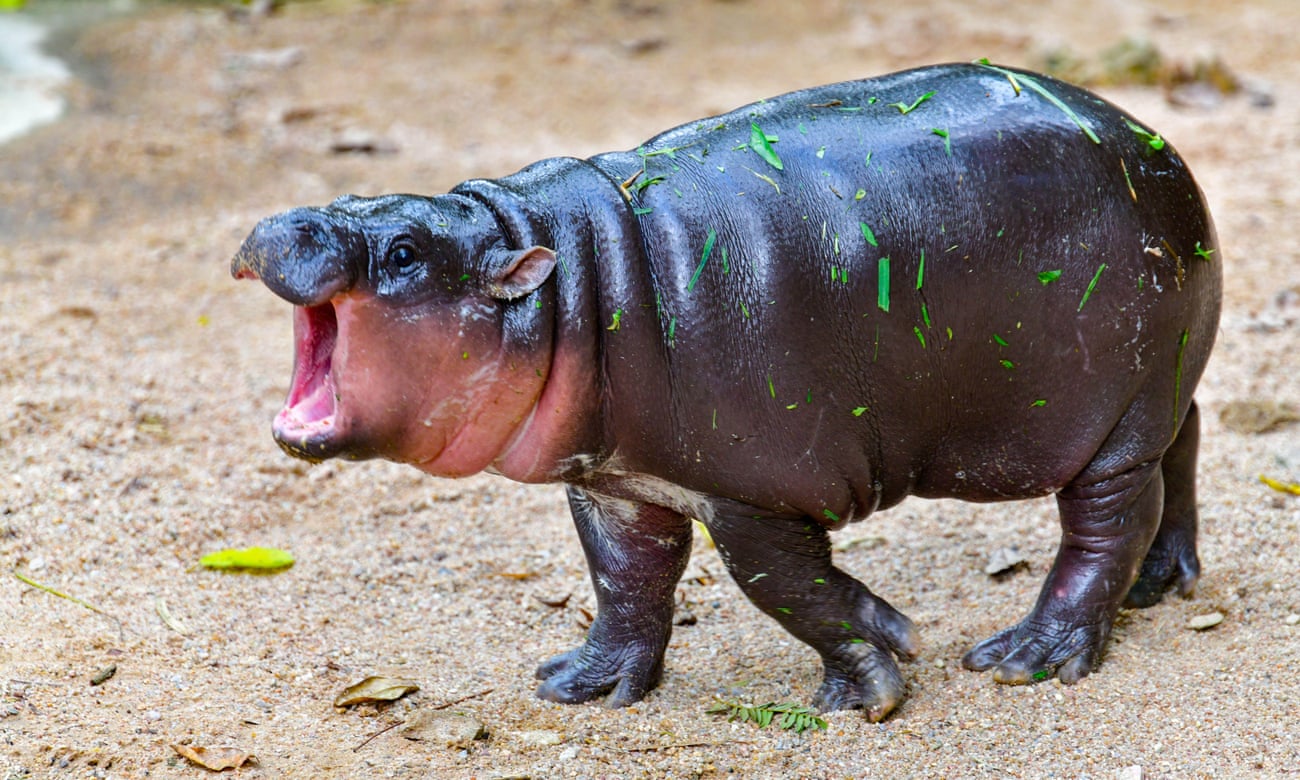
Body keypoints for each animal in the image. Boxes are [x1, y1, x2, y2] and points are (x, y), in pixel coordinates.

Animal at [232, 62, 1220, 720]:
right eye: (352, 194)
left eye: (404, 250)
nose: (281, 223)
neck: (569, 283)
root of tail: (1158, 149)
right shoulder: (614, 481)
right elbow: (625, 579)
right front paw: (583, 684)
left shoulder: (758, 494)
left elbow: (788, 588)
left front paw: (872, 680)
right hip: (1162, 383)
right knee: (1186, 449)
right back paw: (1160, 586)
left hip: (1111, 417)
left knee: (1107, 523)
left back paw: (1029, 656)